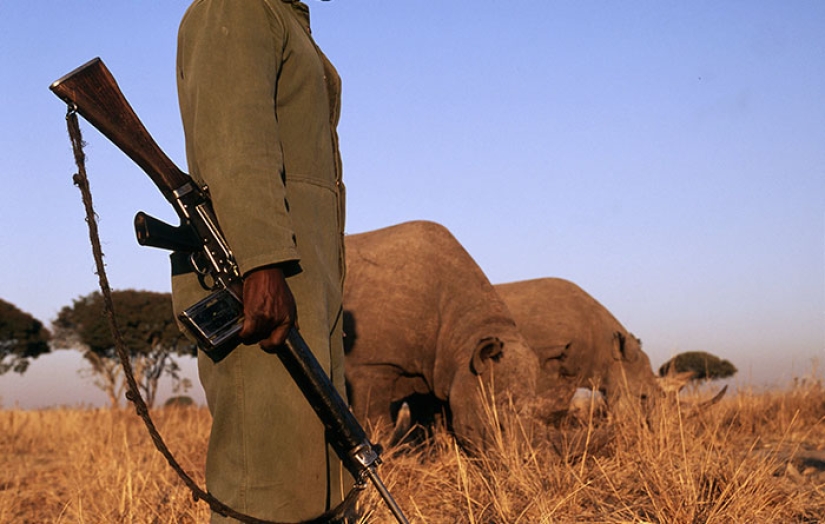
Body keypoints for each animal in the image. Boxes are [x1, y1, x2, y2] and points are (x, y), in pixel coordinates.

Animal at [343, 221, 542, 448]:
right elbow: (374, 421)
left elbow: (427, 428)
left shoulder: (433, 371)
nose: (514, 457)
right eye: (498, 425)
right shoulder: (371, 366)